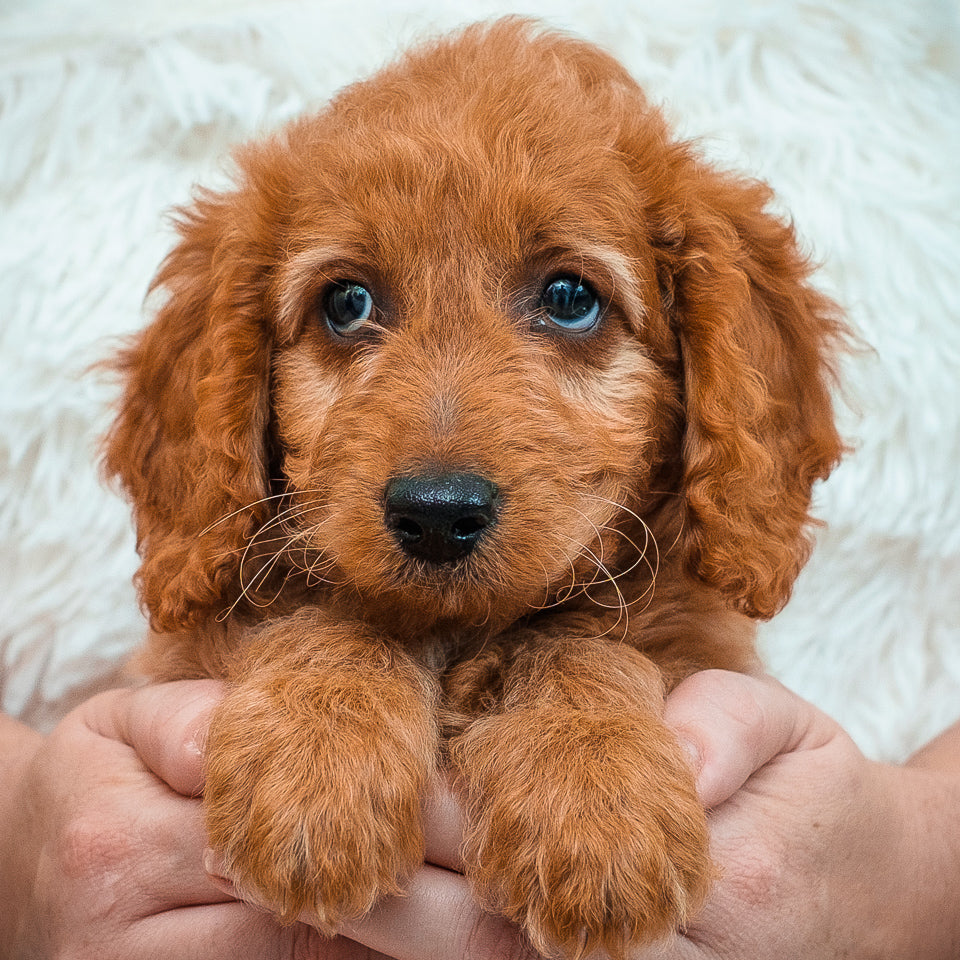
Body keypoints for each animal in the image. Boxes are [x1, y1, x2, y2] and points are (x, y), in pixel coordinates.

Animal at [103, 16, 840, 960]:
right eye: (346, 303)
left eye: (569, 297)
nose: (435, 512)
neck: (462, 633)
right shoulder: (182, 656)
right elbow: (332, 615)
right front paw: (314, 765)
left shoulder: (701, 645)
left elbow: (584, 644)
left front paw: (597, 805)